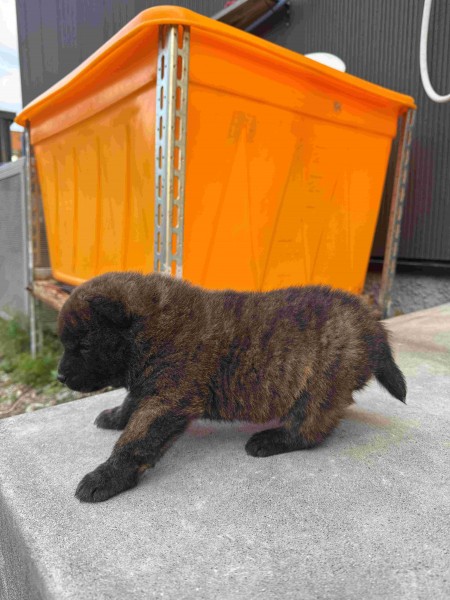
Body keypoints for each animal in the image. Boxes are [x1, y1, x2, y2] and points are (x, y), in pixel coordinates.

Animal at [57, 272, 406, 502]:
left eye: (83, 346)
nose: (59, 376)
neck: (150, 329)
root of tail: (371, 324)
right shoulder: (149, 387)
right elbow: (131, 404)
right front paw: (115, 417)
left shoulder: (168, 398)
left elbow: (136, 440)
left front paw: (106, 476)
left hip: (321, 385)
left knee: (309, 429)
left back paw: (270, 440)